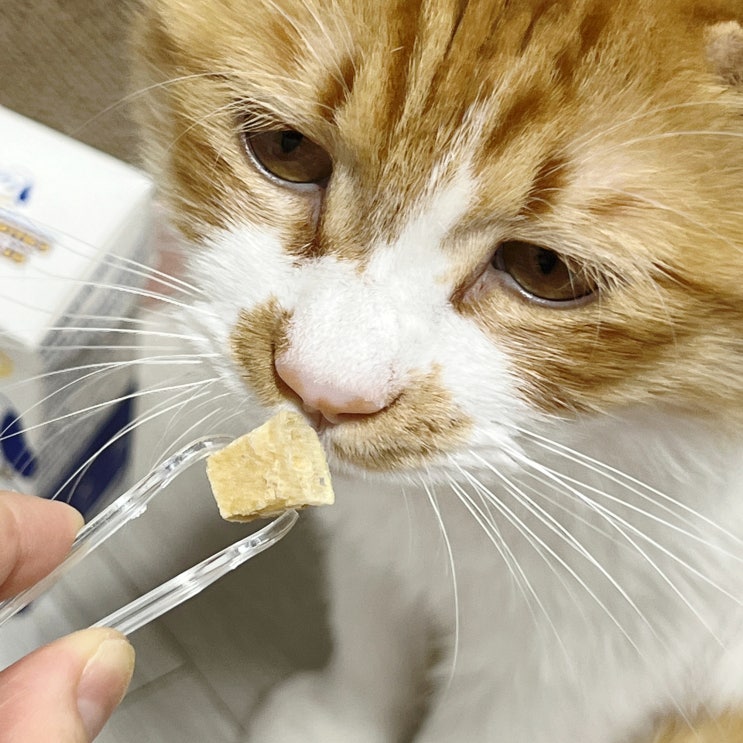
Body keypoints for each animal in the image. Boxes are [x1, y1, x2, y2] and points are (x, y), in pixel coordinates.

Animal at [129, 1, 743, 741]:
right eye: (285, 148)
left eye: (546, 269)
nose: (321, 390)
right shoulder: (378, 551)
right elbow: (371, 630)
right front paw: (341, 719)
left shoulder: (578, 668)